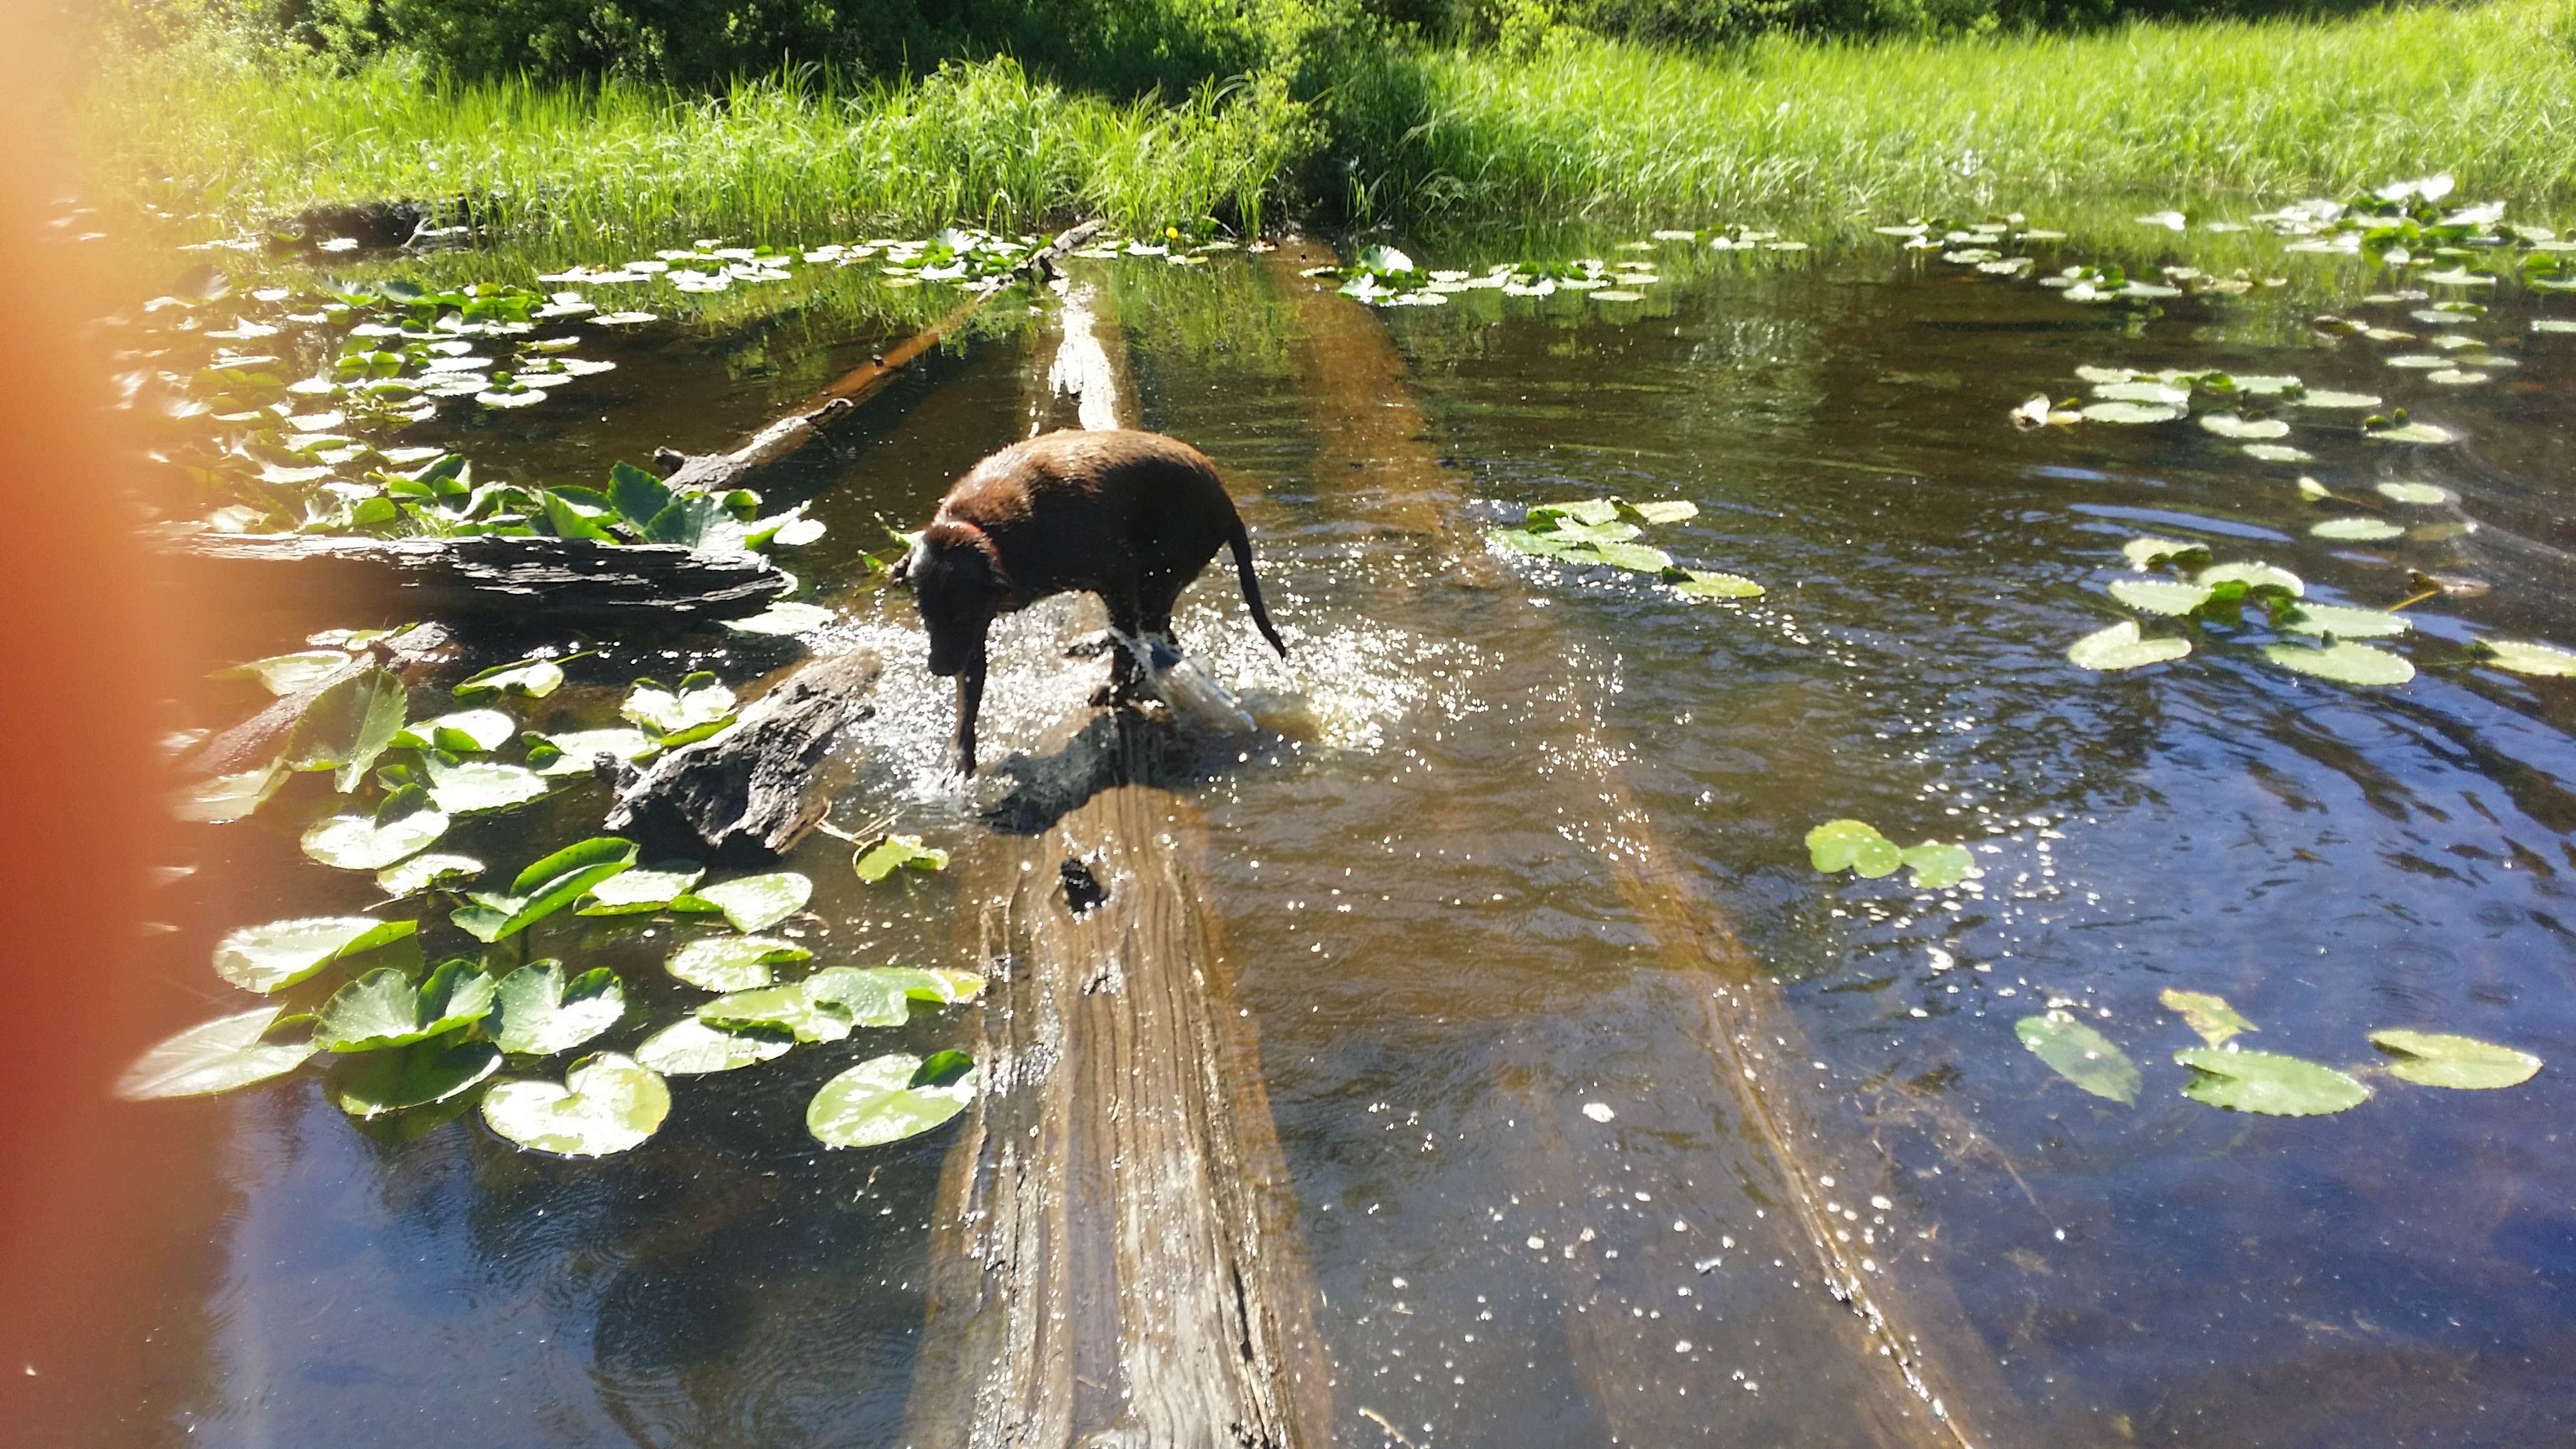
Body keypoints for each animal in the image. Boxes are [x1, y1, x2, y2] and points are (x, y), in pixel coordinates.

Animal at [896, 425, 1288, 773]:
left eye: (960, 615)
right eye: (923, 614)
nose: (938, 668)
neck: (987, 531)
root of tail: (1226, 504)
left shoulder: (1115, 572)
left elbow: (1126, 642)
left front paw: (1114, 687)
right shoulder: (972, 634)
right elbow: (969, 694)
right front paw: (959, 756)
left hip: (1159, 574)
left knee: (1151, 636)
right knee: (1162, 640)